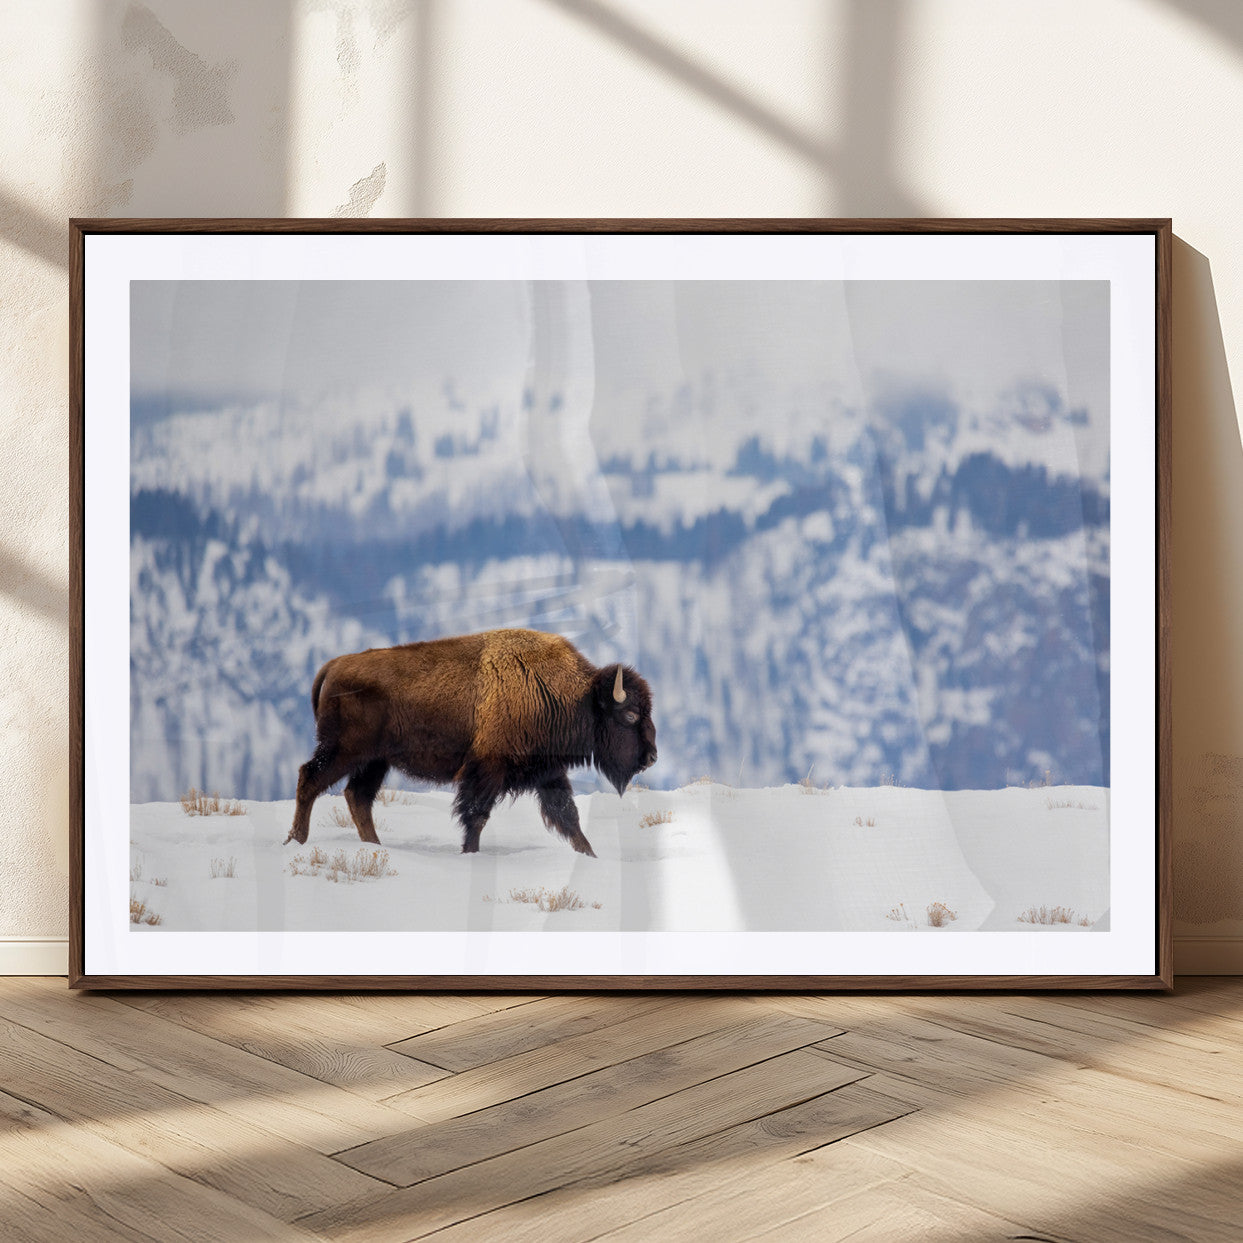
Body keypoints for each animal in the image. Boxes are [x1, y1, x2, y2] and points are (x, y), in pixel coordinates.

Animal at [285, 628, 657, 856]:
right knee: (310, 779)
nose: (651, 757)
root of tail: (335, 664)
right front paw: (470, 852)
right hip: (344, 751)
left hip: (375, 761)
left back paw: (375, 847)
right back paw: (296, 840)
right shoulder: (486, 771)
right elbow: (476, 815)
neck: (572, 695)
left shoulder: (548, 772)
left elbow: (568, 817)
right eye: (630, 715)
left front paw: (591, 855)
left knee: (357, 796)